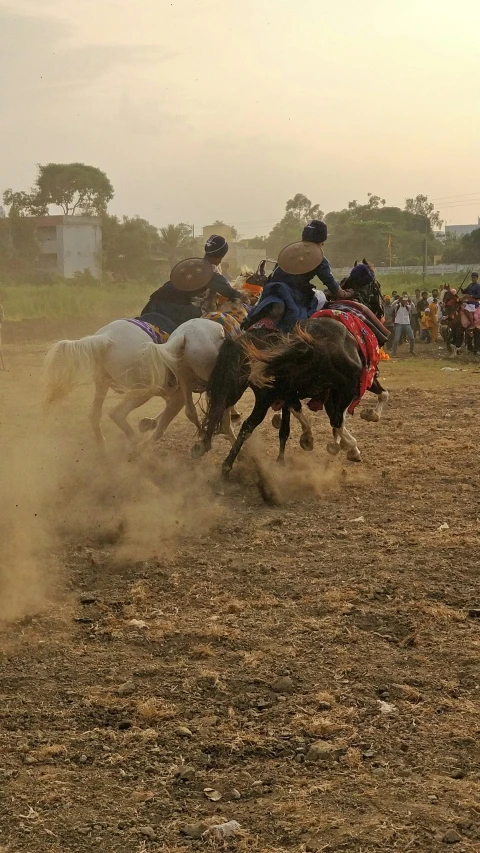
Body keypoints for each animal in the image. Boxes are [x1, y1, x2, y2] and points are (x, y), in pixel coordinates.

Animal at [44, 312, 235, 446]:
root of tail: (106, 337)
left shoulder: (176, 392)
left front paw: (149, 423)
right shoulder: (180, 393)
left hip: (102, 382)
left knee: (94, 415)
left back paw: (103, 448)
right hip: (143, 390)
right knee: (117, 413)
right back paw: (136, 444)